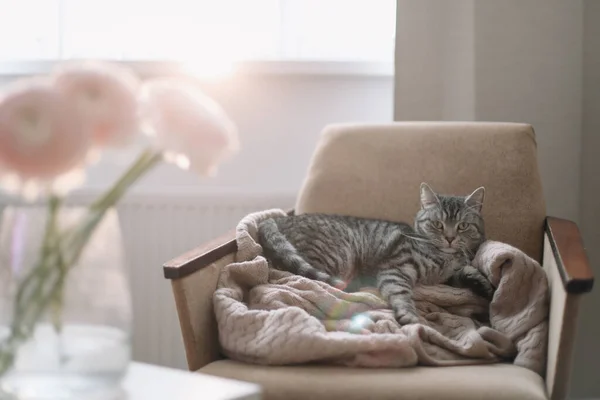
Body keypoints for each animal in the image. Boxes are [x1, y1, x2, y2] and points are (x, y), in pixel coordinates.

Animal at [255, 184, 494, 324]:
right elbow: (401, 294)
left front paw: (485, 286)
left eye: (463, 226)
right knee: (309, 281)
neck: (446, 258)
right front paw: (410, 316)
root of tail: (278, 218)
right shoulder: (396, 269)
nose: (450, 238)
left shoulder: (447, 277)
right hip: (337, 256)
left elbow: (468, 273)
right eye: (438, 224)